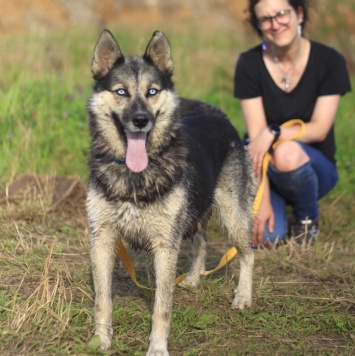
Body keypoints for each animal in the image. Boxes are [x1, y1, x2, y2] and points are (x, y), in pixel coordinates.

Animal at [87, 29, 258, 354]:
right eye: (121, 92)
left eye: (152, 91)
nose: (141, 120)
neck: (135, 177)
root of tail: (219, 114)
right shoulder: (102, 238)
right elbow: (103, 300)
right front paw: (100, 340)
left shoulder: (165, 245)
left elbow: (162, 306)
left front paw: (157, 347)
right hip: (195, 211)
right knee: (202, 241)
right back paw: (192, 278)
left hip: (232, 216)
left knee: (248, 252)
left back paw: (243, 296)